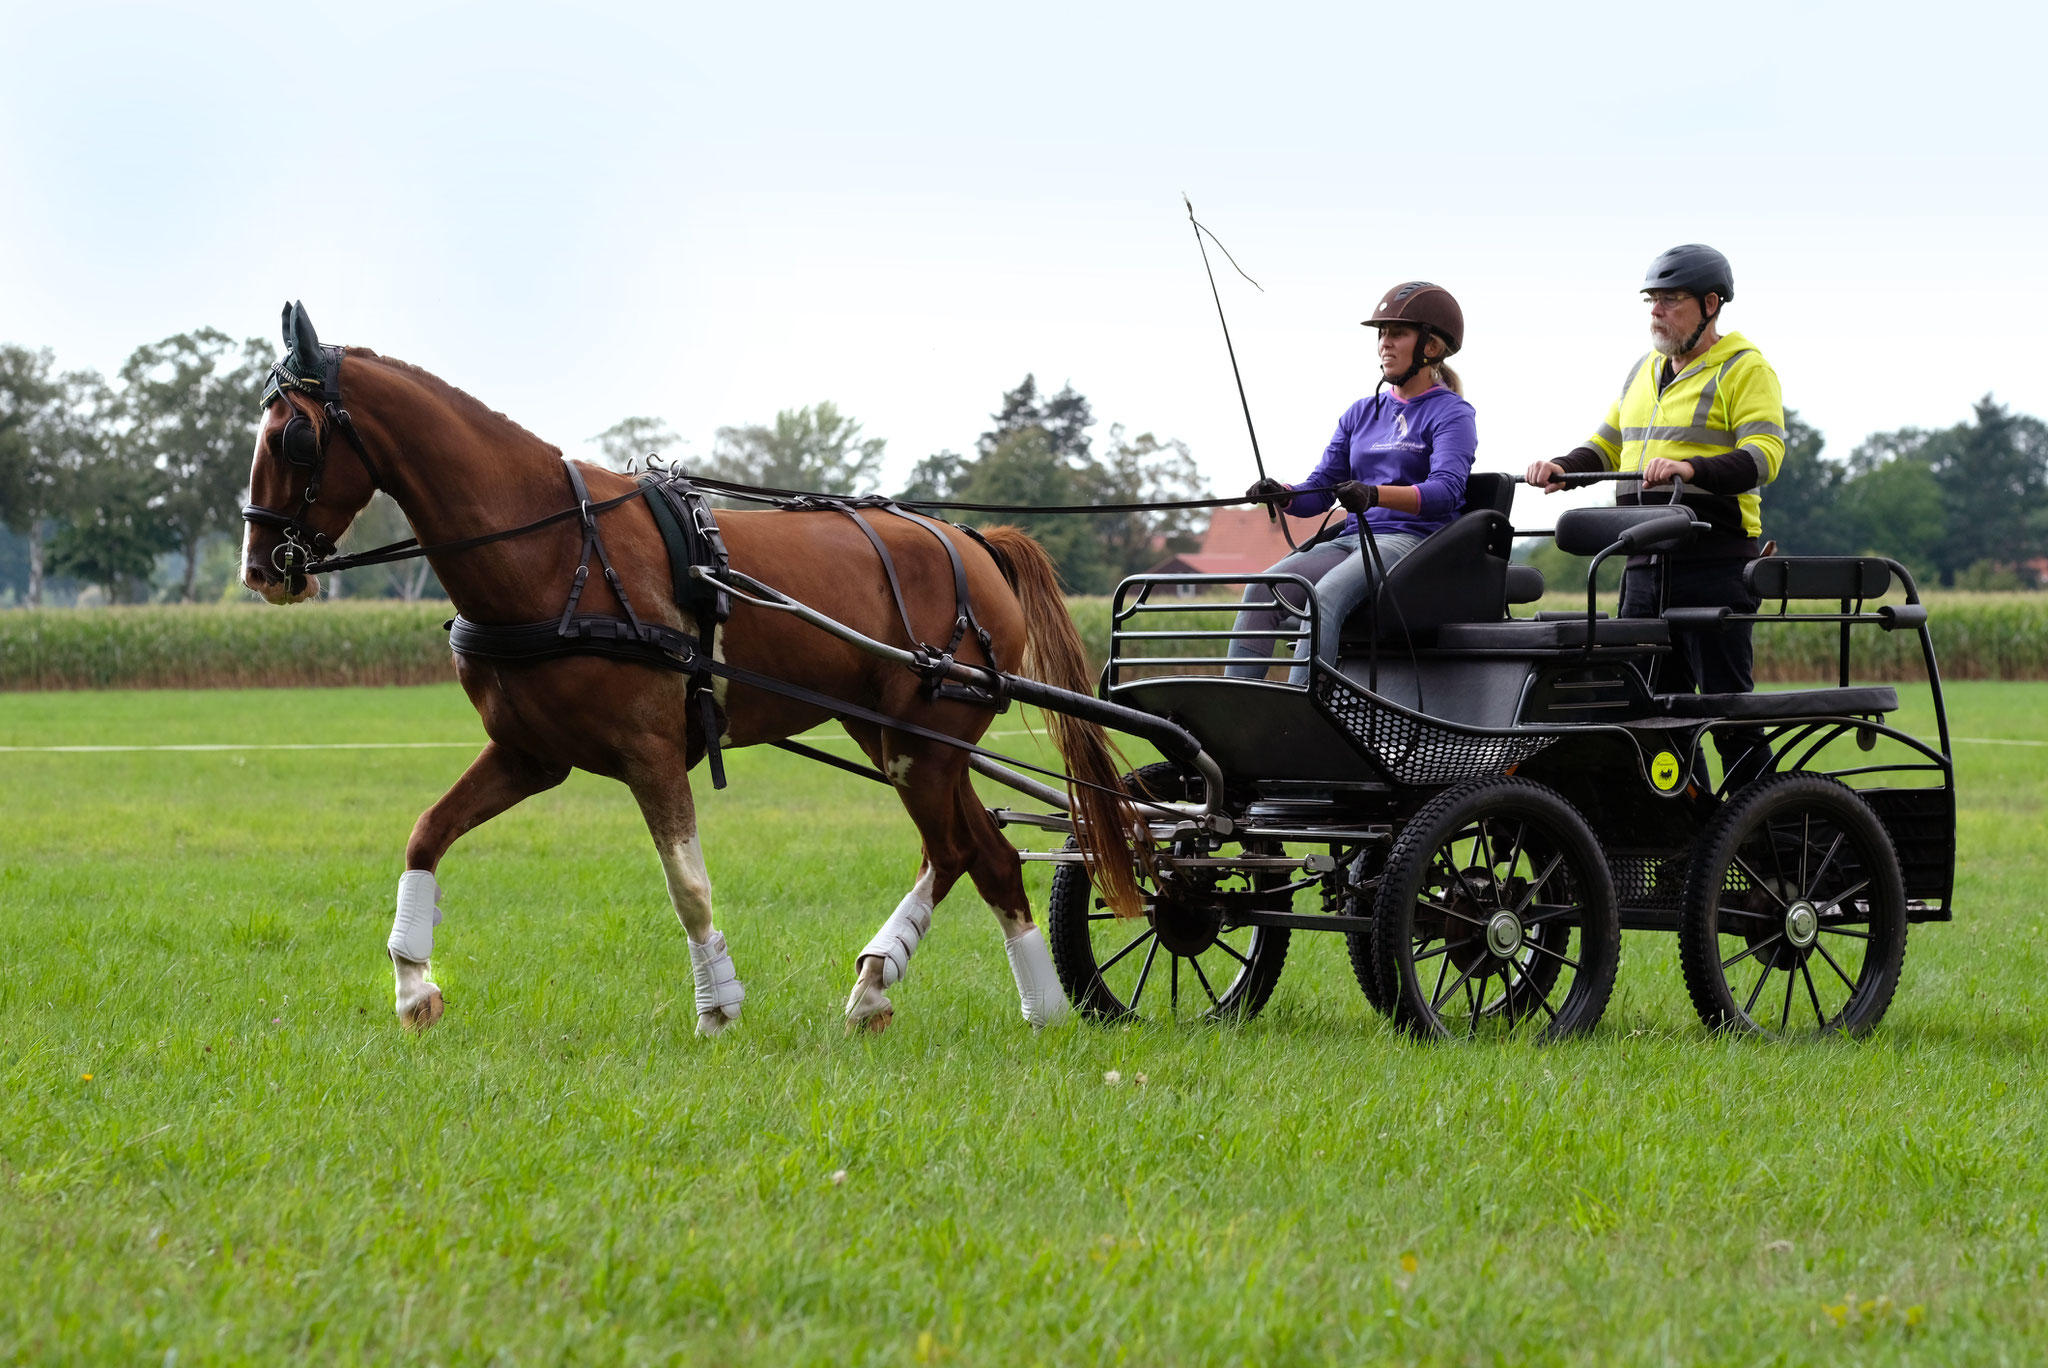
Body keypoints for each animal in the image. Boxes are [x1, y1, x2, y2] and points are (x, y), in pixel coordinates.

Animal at [243, 307, 1138, 1036]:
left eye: (293, 436)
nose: (261, 568)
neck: (557, 549)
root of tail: (977, 543)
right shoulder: (529, 756)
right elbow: (427, 833)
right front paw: (413, 987)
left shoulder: (649, 753)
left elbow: (688, 886)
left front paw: (718, 1008)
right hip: (896, 740)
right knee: (982, 855)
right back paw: (974, 1000)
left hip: (927, 743)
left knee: (961, 852)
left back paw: (957, 995)